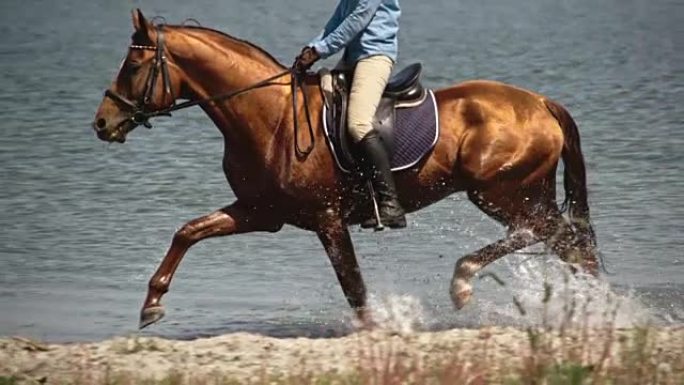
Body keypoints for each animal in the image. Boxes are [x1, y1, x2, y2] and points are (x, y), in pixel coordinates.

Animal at [92, 9, 600, 328]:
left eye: (133, 66)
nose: (102, 123)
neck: (271, 116)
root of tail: (541, 102)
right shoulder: (261, 211)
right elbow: (189, 231)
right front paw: (151, 305)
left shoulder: (327, 219)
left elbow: (353, 285)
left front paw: (375, 329)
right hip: (524, 191)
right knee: (571, 244)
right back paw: (596, 308)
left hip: (500, 191)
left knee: (544, 233)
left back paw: (464, 281)